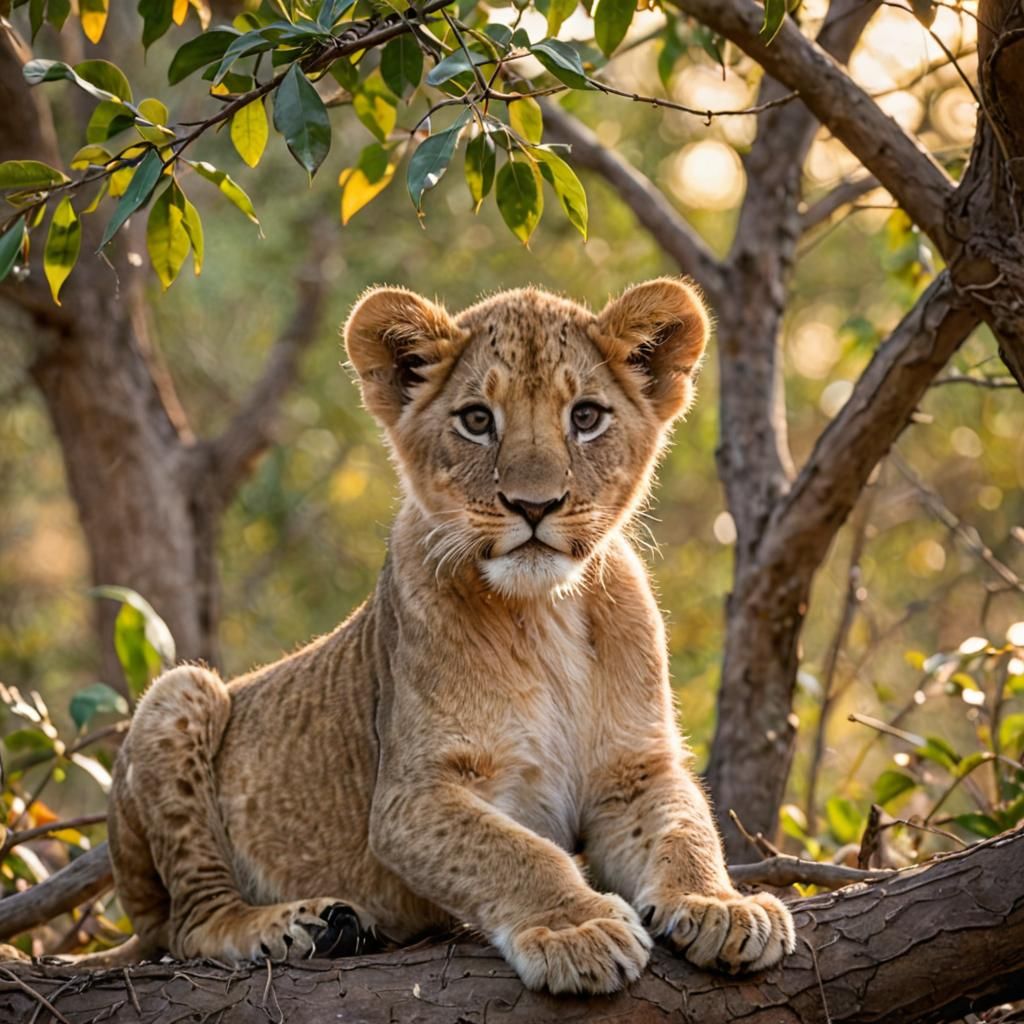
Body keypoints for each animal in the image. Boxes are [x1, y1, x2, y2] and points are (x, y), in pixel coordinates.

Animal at [106, 278, 796, 994]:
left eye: (585, 416)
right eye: (476, 420)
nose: (534, 505)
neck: (542, 612)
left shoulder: (632, 772)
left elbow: (687, 831)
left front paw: (724, 907)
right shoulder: (411, 798)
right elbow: (515, 853)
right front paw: (578, 929)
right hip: (181, 694)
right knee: (188, 923)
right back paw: (302, 926)